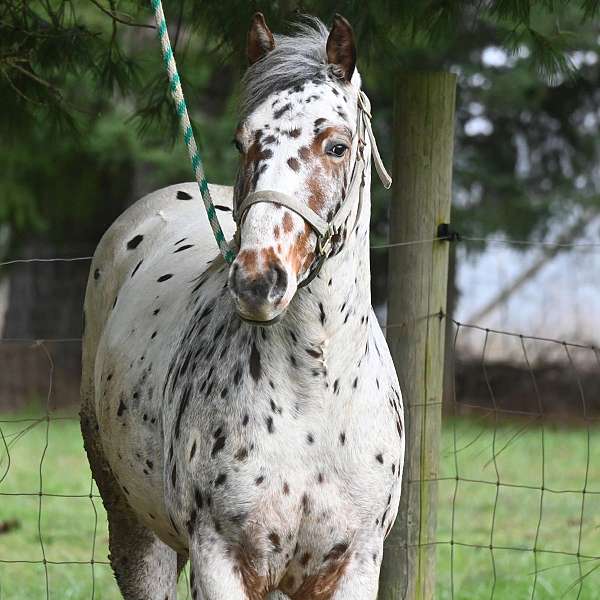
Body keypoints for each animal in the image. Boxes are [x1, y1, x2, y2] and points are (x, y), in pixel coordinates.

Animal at [79, 12, 406, 600]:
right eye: (241, 141)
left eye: (337, 145)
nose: (257, 282)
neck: (315, 393)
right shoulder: (221, 559)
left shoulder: (354, 565)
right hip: (138, 529)